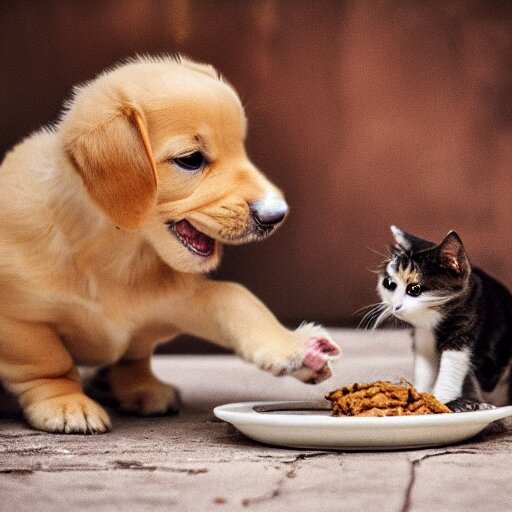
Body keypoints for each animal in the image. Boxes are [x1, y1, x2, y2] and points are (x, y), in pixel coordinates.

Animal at [0, 55, 340, 432]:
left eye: (241, 148)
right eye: (191, 159)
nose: (277, 214)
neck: (116, 257)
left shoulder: (181, 300)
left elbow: (236, 300)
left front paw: (293, 348)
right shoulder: (19, 321)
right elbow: (50, 363)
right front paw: (65, 401)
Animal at [374, 225, 510, 408]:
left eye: (414, 289)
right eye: (389, 284)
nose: (396, 306)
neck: (433, 321)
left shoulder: (467, 321)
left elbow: (453, 366)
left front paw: (443, 401)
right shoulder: (422, 335)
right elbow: (424, 367)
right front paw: (421, 394)